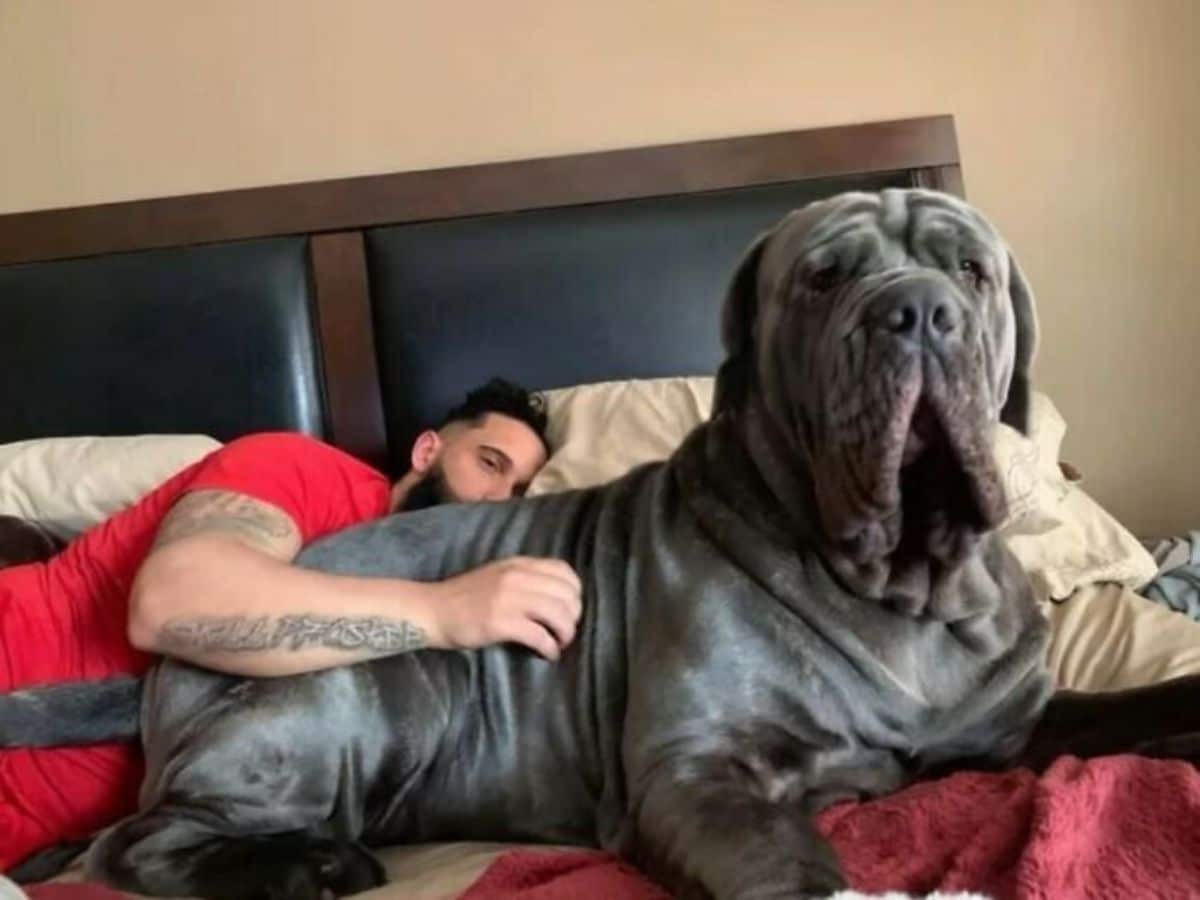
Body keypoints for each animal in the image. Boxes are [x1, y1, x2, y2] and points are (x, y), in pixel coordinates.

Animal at [16, 187, 1200, 897]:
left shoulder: (1015, 727)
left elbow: (1143, 708)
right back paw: (307, 864)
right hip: (361, 683)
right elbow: (791, 864)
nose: (916, 310)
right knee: (139, 842)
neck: (899, 587)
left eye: (973, 272)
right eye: (824, 278)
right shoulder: (698, 772)